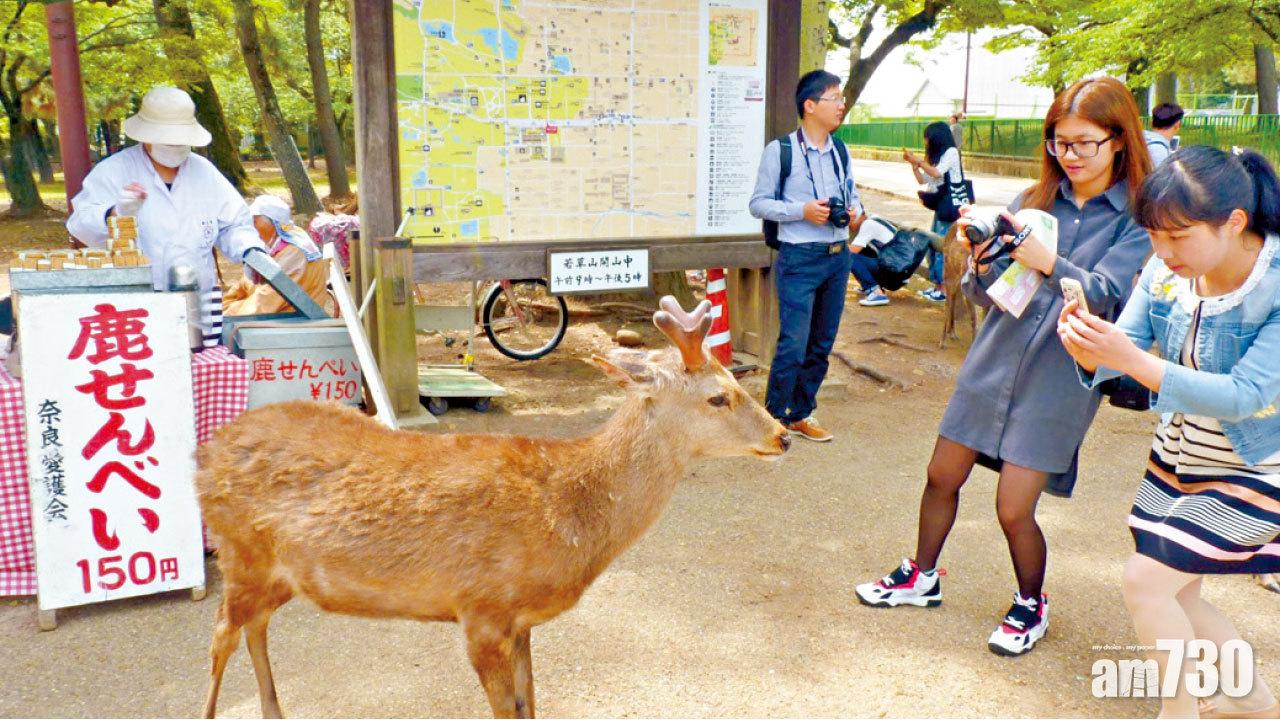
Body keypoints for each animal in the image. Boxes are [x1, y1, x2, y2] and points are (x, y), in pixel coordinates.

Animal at [195, 296, 791, 719]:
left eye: (735, 380)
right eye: (718, 396)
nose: (783, 435)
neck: (570, 518)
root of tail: (205, 453)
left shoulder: (520, 621)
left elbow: (532, 703)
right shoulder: (480, 609)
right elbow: (507, 709)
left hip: (278, 573)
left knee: (253, 628)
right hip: (240, 551)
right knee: (221, 636)